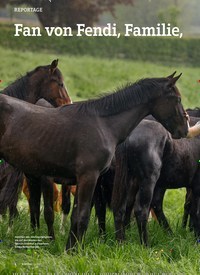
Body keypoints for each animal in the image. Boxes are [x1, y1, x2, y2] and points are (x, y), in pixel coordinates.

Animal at [0, 73, 188, 250]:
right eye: (177, 99)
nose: (184, 129)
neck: (103, 124)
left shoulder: (84, 180)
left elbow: (77, 216)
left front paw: (71, 248)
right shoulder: (88, 177)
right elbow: (83, 216)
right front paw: (76, 251)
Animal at [111, 115, 199, 247]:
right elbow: (196, 211)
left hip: (128, 180)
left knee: (121, 208)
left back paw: (121, 242)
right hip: (149, 181)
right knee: (141, 210)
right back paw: (146, 245)